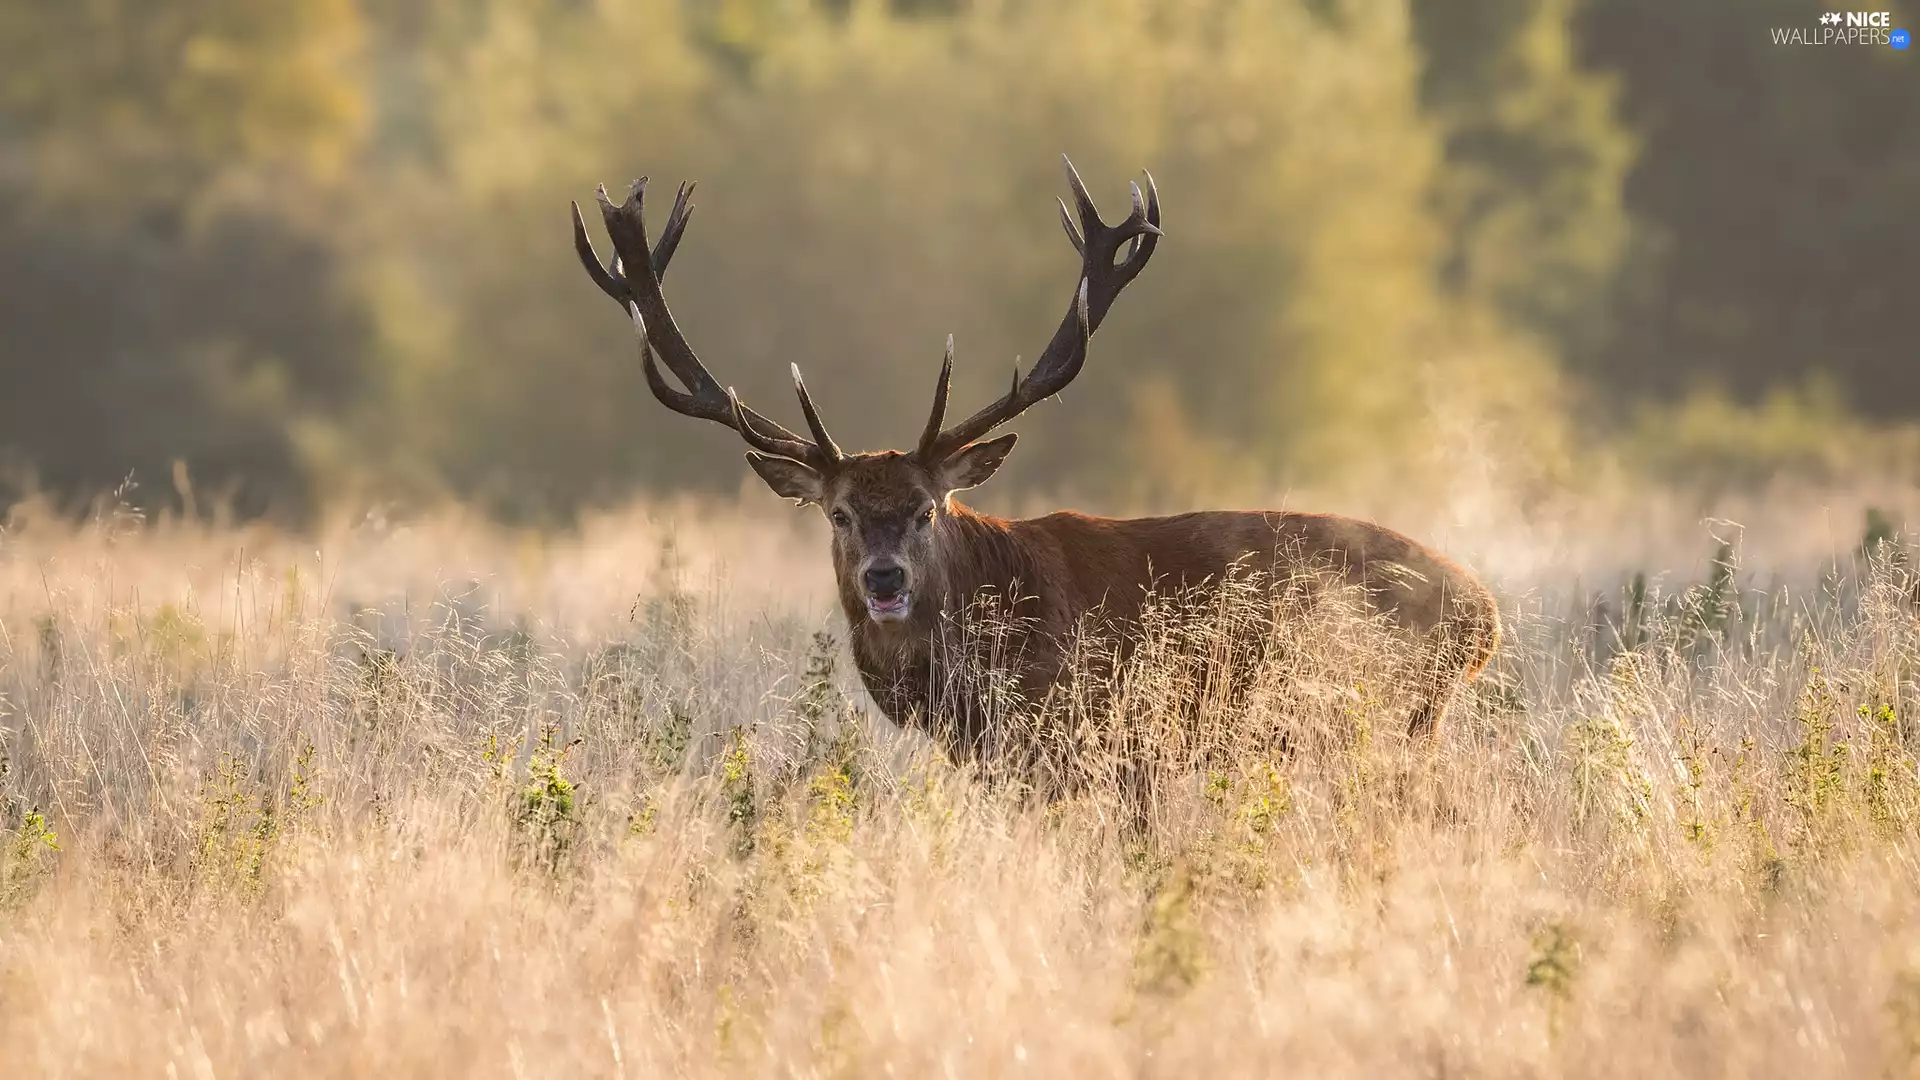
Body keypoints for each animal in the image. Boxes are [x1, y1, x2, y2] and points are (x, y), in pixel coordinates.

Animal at [570, 157, 1501, 775]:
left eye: (927, 507)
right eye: (839, 512)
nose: (883, 577)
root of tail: (1484, 615)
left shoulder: (1098, 742)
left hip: (1384, 716)